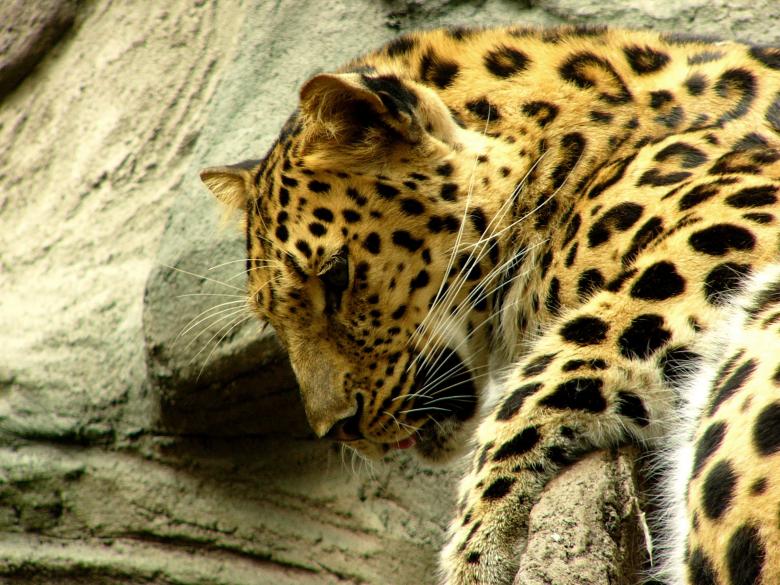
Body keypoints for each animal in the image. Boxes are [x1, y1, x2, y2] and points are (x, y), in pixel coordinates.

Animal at [199, 24, 780, 585]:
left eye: (336, 276)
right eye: (273, 321)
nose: (337, 428)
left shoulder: (737, 212)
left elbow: (562, 360)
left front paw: (479, 548)